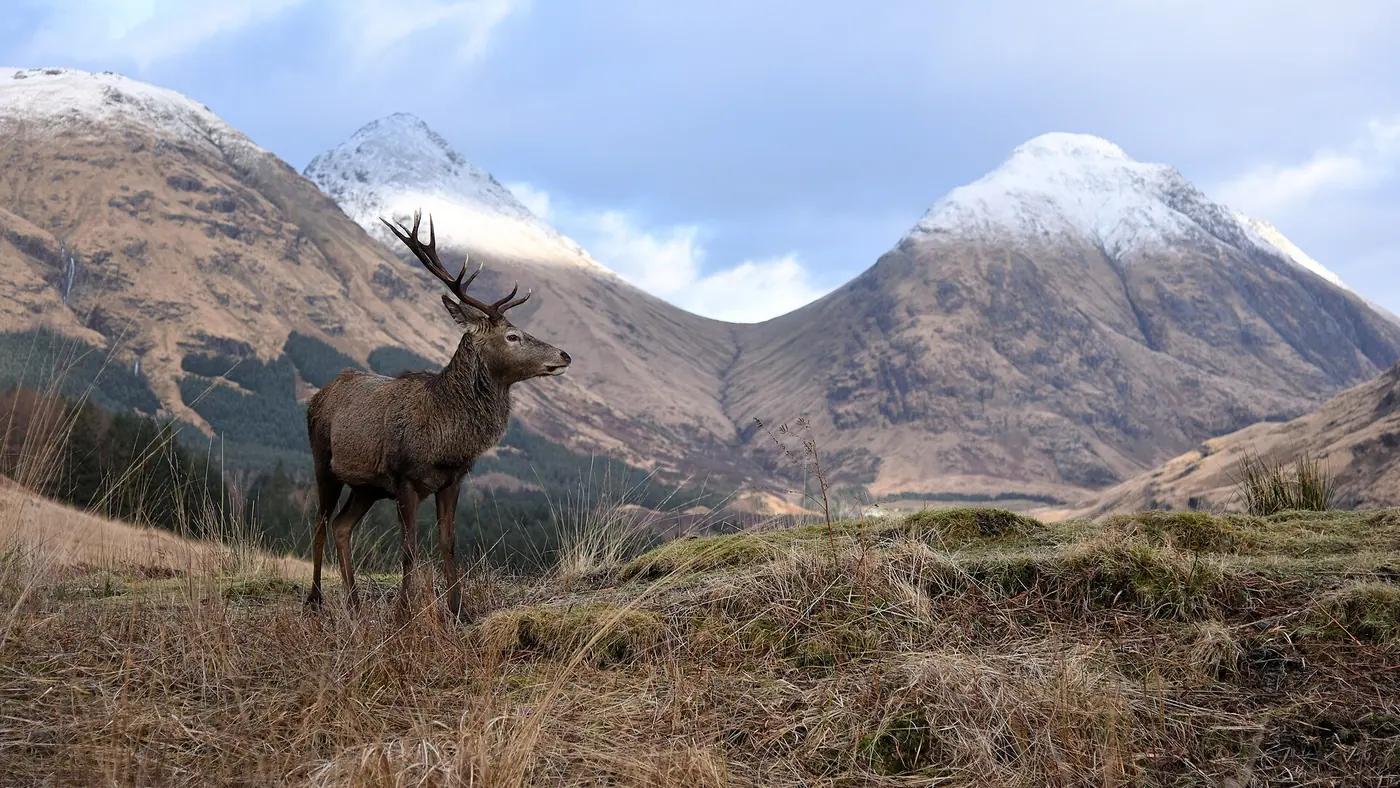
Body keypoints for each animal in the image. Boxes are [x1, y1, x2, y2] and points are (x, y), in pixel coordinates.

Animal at [304, 210, 571, 619]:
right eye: (512, 336)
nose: (564, 355)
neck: (446, 434)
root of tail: (317, 397)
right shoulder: (404, 479)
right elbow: (409, 549)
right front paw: (403, 613)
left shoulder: (452, 480)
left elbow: (448, 543)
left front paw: (459, 611)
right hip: (324, 461)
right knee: (320, 523)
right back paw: (316, 600)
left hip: (366, 486)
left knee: (341, 527)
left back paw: (355, 603)